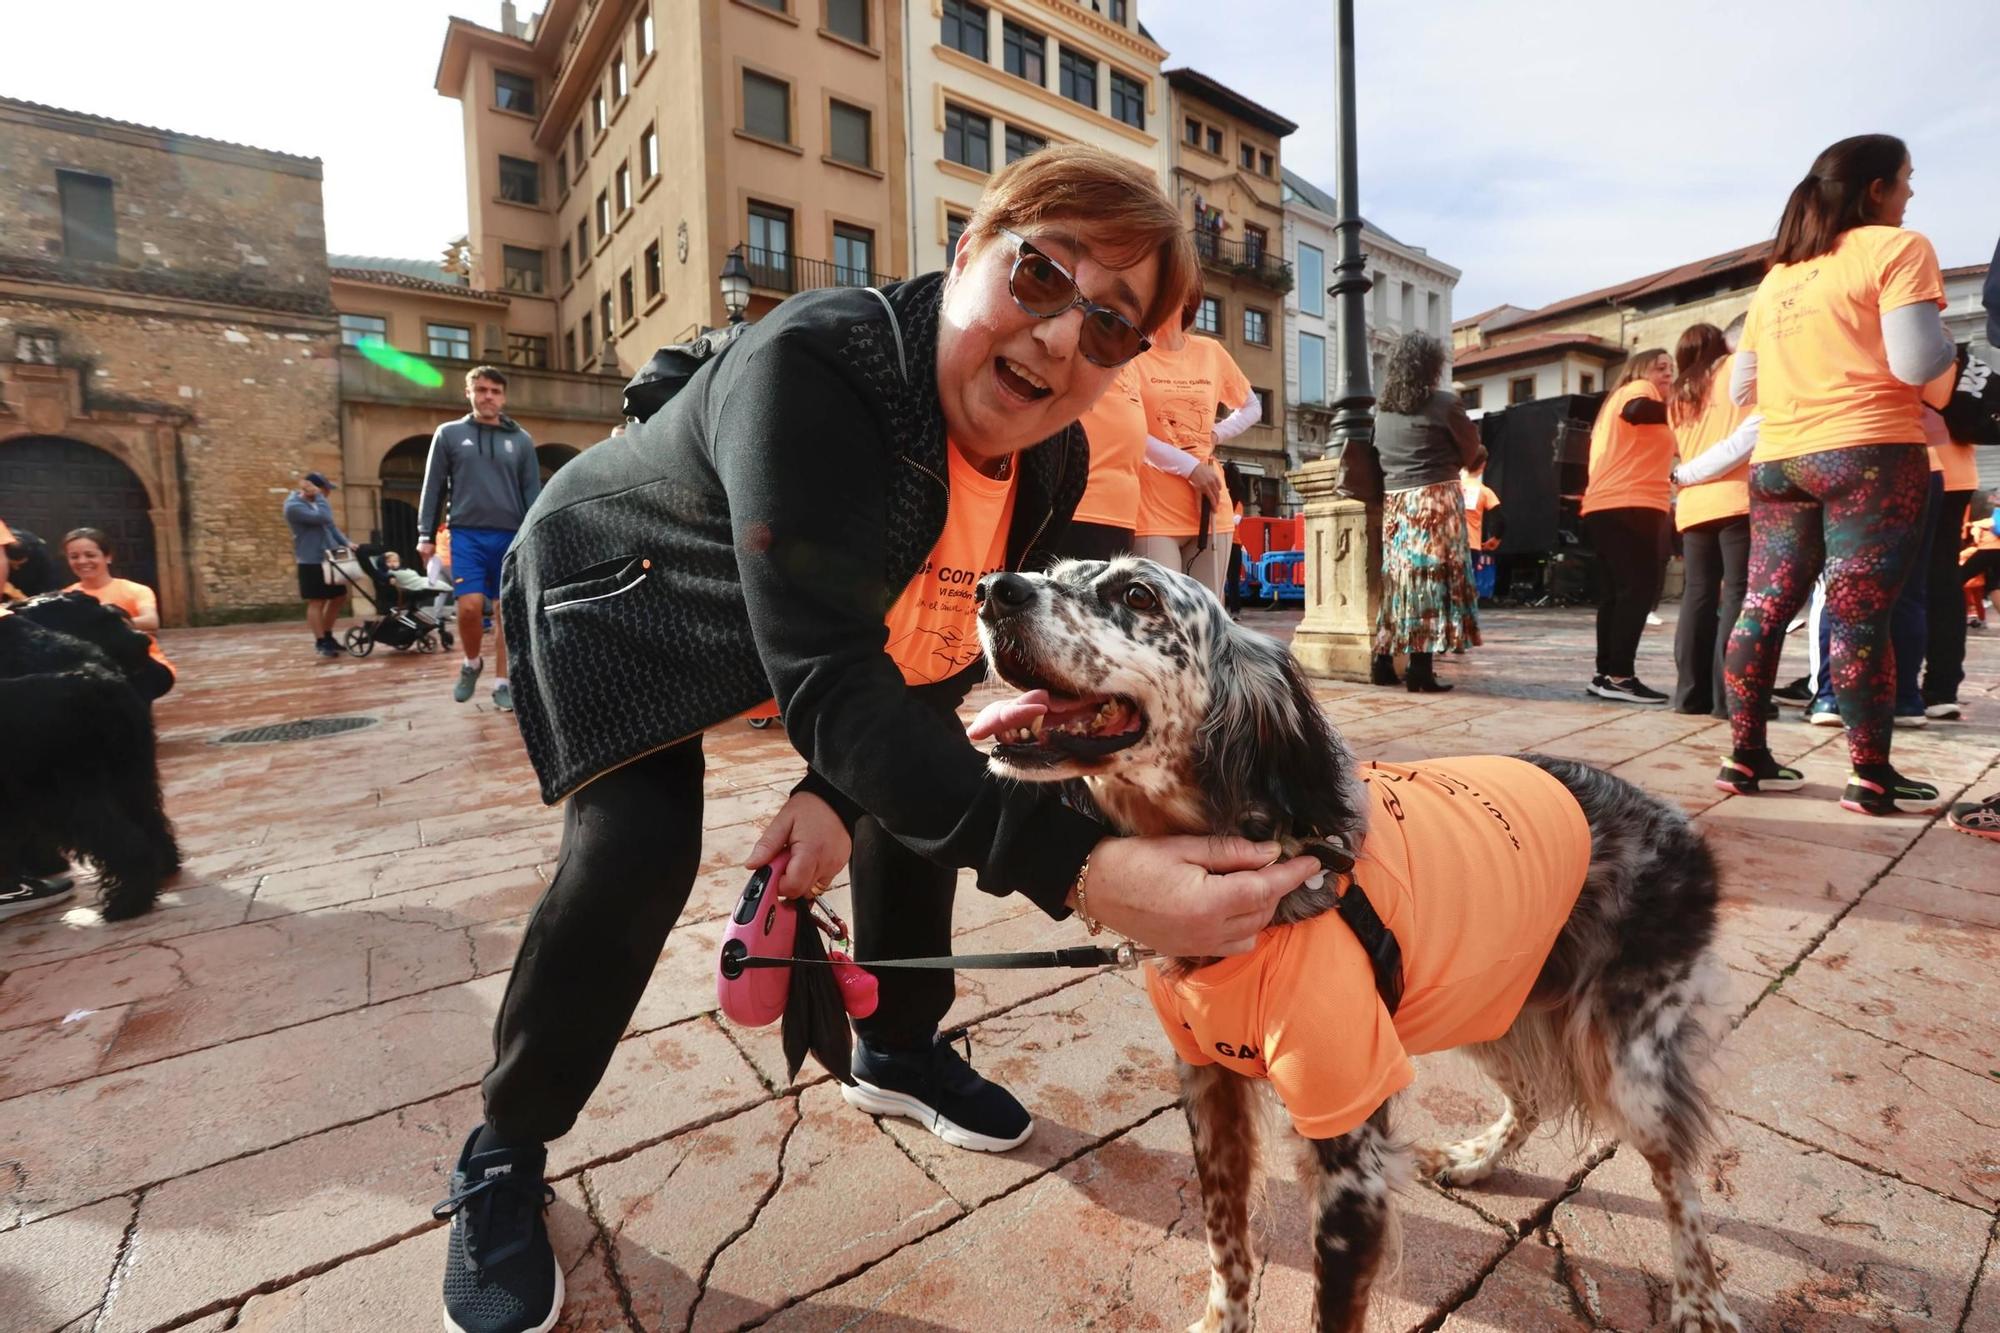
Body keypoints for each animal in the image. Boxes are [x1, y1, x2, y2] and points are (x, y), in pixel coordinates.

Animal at [1, 596, 180, 920]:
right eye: (106, 618)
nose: (142, 639)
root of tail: (98, 681)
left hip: (73, 796)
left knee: (125, 843)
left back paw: (127, 902)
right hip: (132, 776)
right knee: (152, 824)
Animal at [968, 556, 1736, 1328]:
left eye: (1137, 595)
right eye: (1055, 570)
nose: (993, 588)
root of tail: (1682, 825)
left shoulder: (1350, 1152)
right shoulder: (1210, 1088)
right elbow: (1227, 1246)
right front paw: (1223, 1317)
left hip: (1629, 1063)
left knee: (1681, 1179)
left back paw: (1699, 1300)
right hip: (1490, 1005)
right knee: (1532, 1097)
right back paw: (1477, 1159)